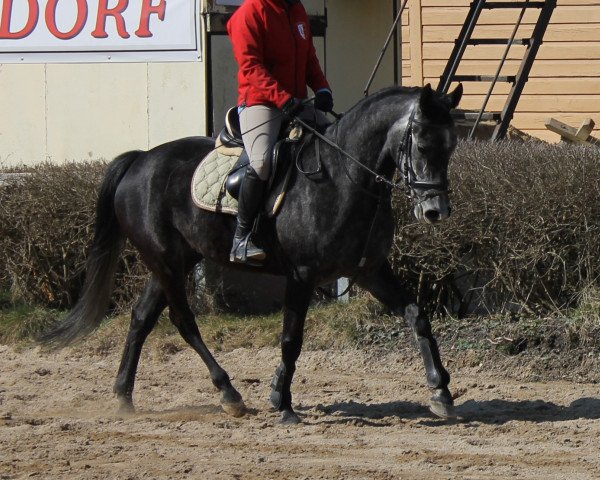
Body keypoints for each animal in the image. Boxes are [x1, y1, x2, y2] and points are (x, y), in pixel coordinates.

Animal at [41, 83, 464, 424]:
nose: (435, 211)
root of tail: (140, 159)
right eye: (423, 145)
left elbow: (417, 315)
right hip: (164, 260)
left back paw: (124, 396)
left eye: (451, 146)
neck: (342, 177)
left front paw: (441, 391)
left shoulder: (370, 270)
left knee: (142, 317)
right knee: (182, 321)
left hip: (177, 259)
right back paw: (229, 393)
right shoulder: (302, 274)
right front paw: (283, 402)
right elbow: (291, 337)